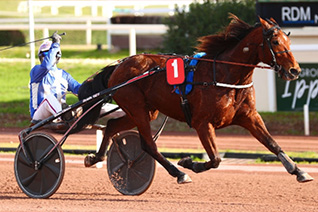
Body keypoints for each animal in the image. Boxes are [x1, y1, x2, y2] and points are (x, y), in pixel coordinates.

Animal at [84, 14, 314, 184]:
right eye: (275, 41)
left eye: (290, 41)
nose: (294, 70)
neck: (225, 75)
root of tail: (119, 65)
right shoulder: (202, 122)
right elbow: (215, 159)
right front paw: (189, 163)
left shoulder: (249, 116)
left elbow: (273, 144)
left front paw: (298, 170)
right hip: (136, 107)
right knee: (148, 145)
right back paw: (179, 173)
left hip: (145, 111)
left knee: (112, 126)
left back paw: (95, 157)